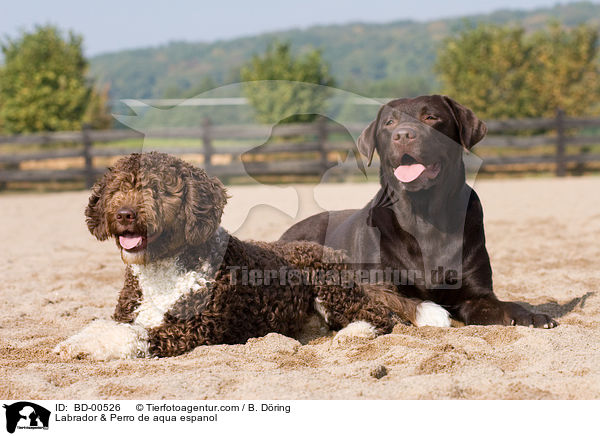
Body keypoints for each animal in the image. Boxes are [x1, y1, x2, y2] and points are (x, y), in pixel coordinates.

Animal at [54, 152, 424, 360]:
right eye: (117, 189)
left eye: (157, 189)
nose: (125, 215)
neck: (162, 270)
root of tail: (336, 254)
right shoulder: (131, 314)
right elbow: (106, 325)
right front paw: (74, 341)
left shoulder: (193, 329)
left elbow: (133, 336)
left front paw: (86, 348)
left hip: (328, 284)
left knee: (379, 316)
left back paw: (352, 334)